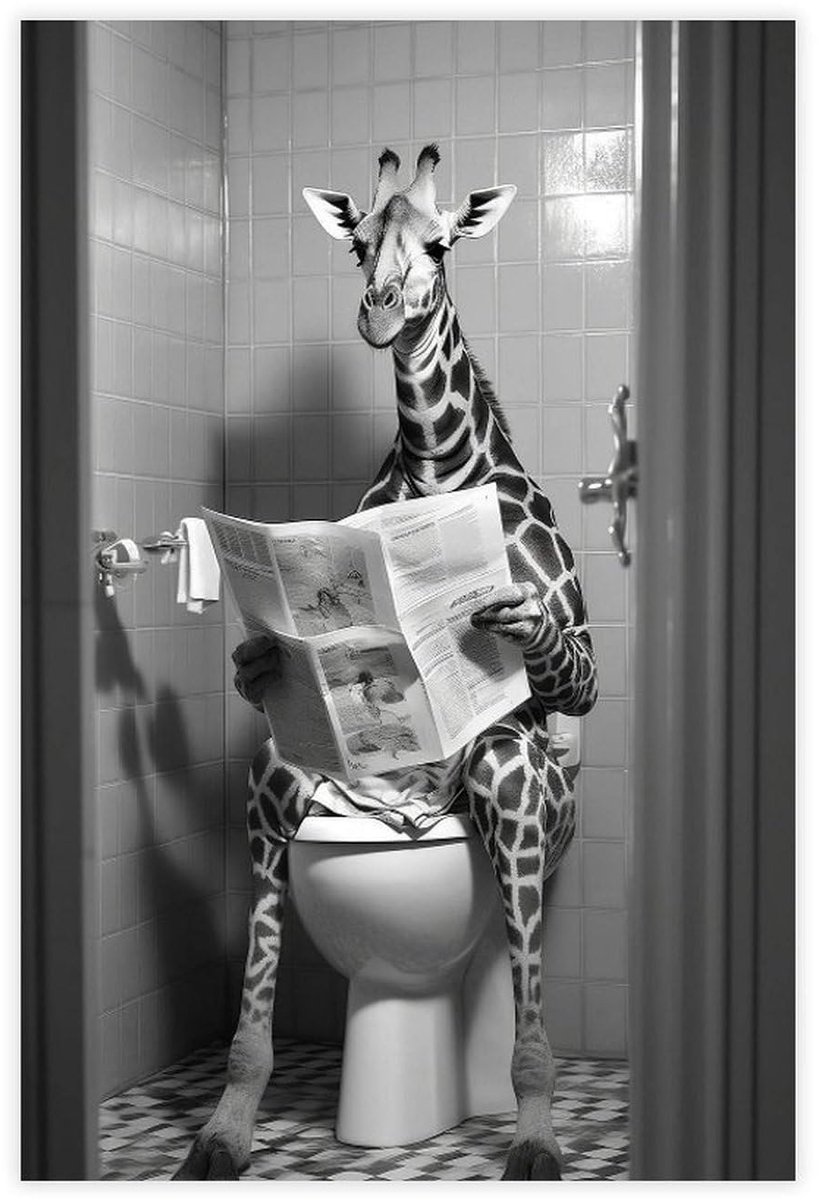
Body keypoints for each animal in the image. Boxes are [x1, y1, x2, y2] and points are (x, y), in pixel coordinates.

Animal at [173, 146, 598, 1182]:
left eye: (440, 243)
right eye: (358, 241)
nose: (379, 311)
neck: (442, 469)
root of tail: (404, 815)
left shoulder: (578, 660)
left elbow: (567, 663)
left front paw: (536, 1144)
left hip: (516, 786)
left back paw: (531, 1136)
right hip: (301, 780)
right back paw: (227, 1131)